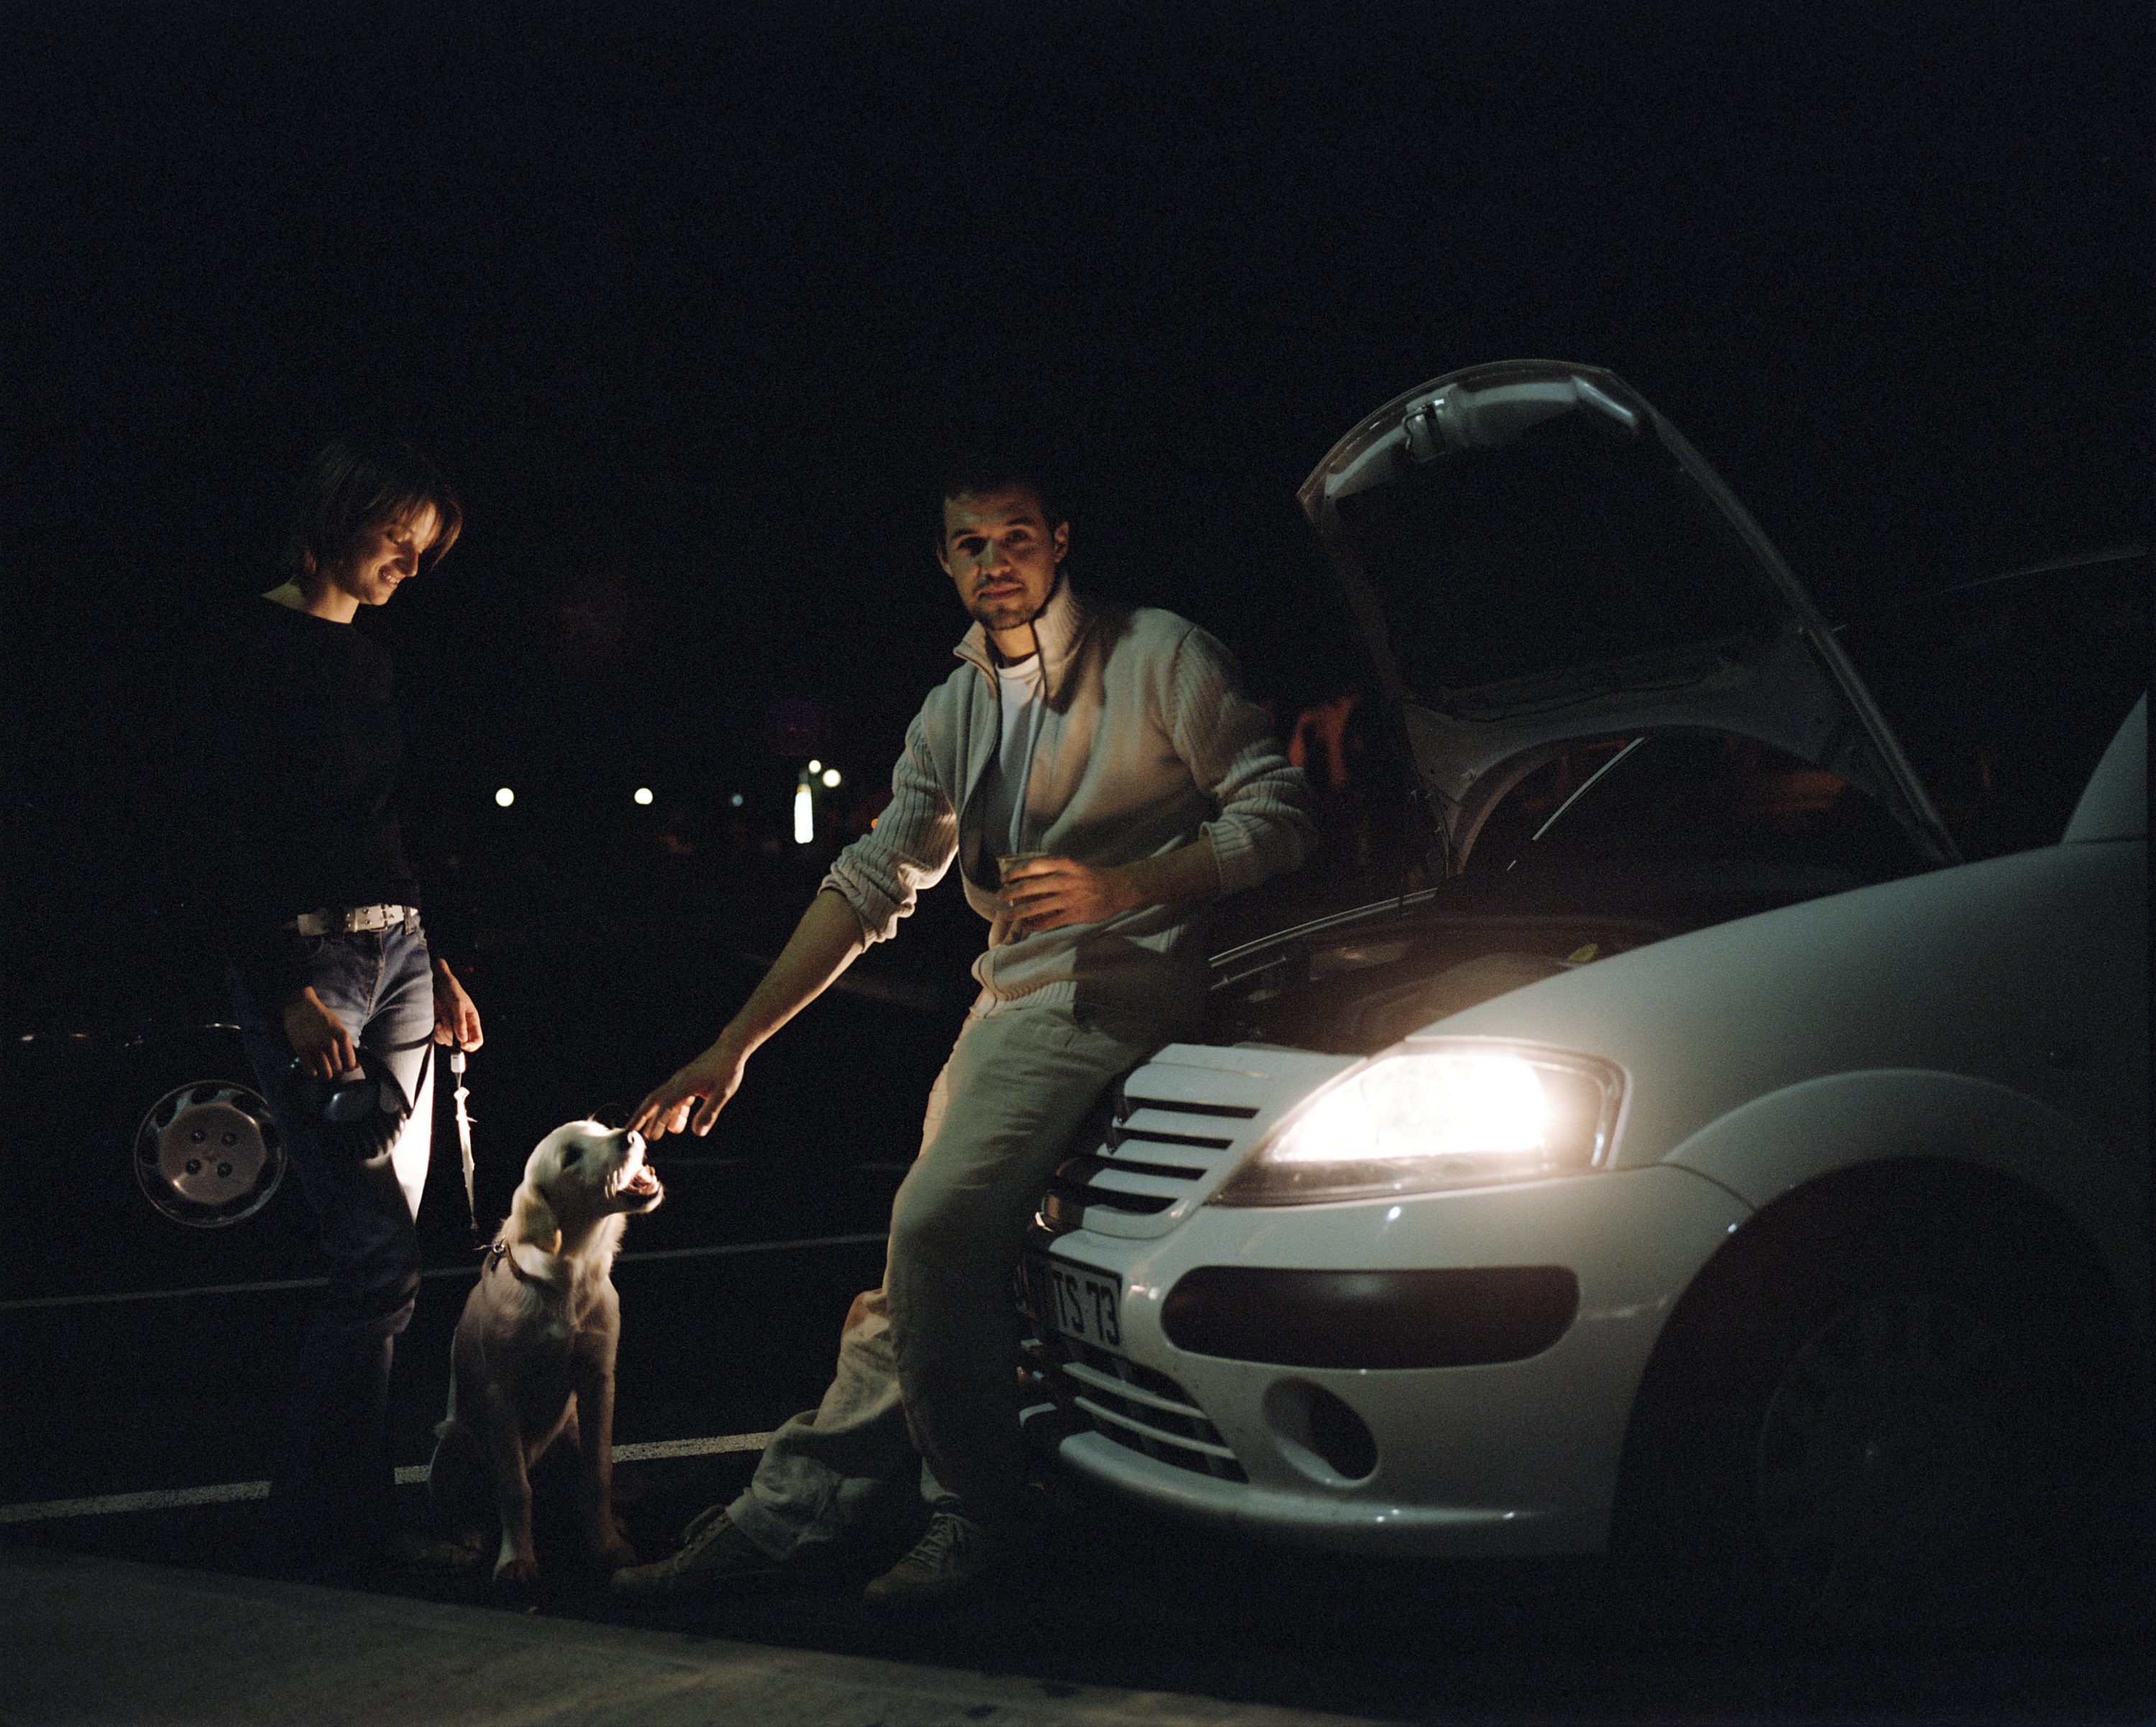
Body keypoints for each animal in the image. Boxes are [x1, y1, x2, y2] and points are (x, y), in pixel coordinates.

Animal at [428, 1120, 664, 1586]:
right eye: (571, 1156)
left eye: (600, 1129)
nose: (630, 1134)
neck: (565, 1279)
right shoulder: (501, 1395)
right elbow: (515, 1489)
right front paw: (516, 1559)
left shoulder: (598, 1379)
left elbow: (598, 1474)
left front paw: (606, 1546)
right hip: (452, 1441)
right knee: (463, 1507)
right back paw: (468, 1535)